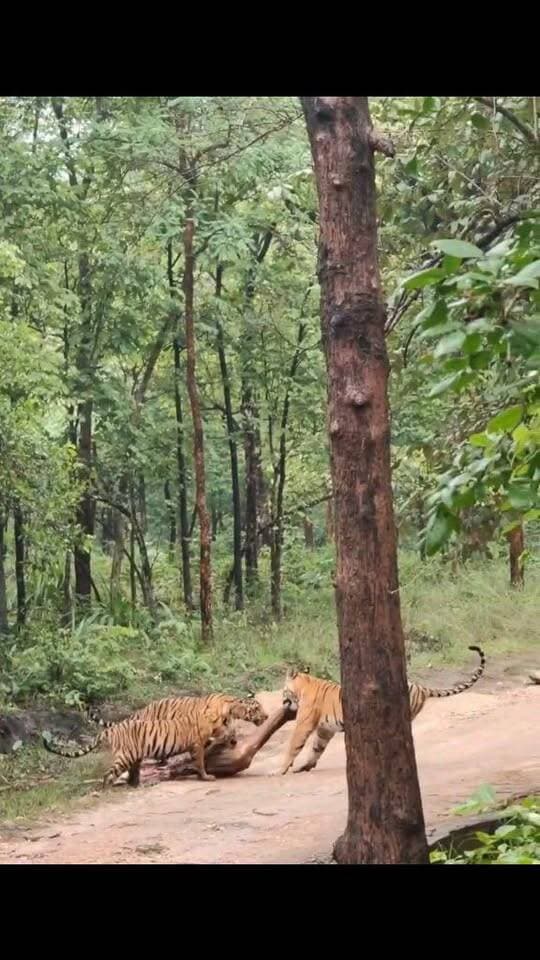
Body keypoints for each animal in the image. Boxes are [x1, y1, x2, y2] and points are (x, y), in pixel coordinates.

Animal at [43, 704, 231, 787]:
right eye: (225, 721)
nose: (229, 730)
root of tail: (109, 730)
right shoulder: (197, 746)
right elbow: (200, 763)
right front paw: (206, 777)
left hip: (134, 755)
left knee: (130, 772)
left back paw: (135, 784)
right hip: (126, 756)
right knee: (109, 774)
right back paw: (108, 788)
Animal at [279, 645, 486, 775]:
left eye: (283, 690)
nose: (282, 702)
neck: (303, 686)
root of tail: (420, 687)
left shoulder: (304, 724)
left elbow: (293, 746)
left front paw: (280, 770)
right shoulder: (325, 729)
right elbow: (316, 748)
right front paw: (304, 767)